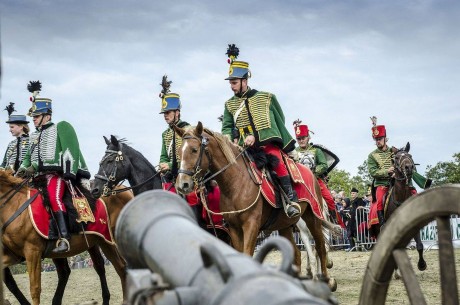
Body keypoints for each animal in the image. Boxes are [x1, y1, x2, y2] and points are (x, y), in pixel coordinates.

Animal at [0, 169, 131, 304]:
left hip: (108, 240)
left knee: (120, 268)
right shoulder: (14, 254)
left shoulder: (32, 251)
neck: (15, 206)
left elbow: (34, 289)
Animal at [174, 121, 340, 290]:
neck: (236, 183)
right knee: (297, 254)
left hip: (313, 218)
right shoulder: (234, 228)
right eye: (179, 152)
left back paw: (327, 281)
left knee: (320, 247)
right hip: (285, 225)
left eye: (194, 150)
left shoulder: (251, 225)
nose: (182, 185)